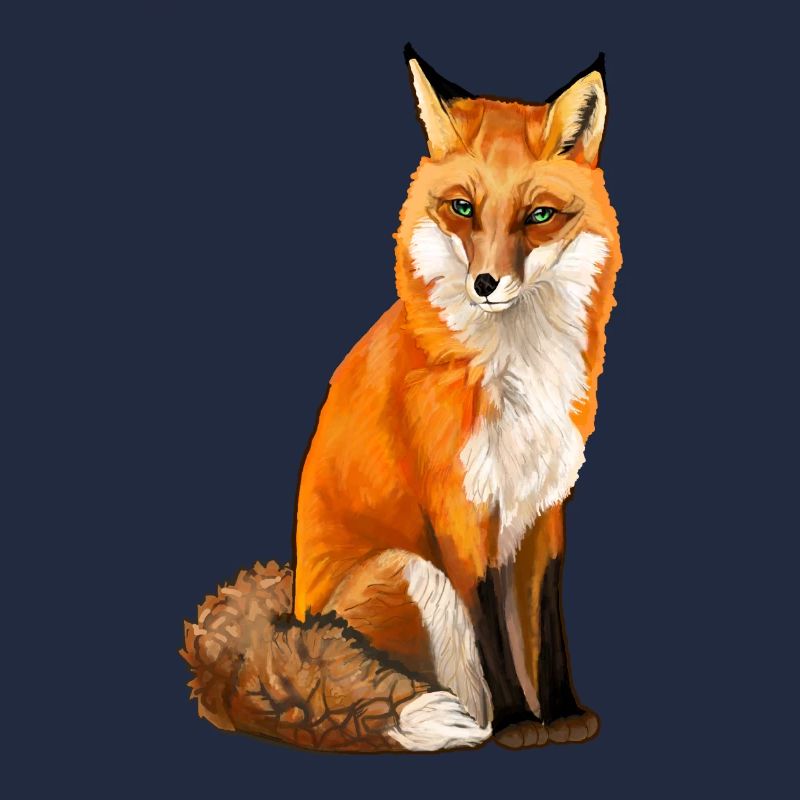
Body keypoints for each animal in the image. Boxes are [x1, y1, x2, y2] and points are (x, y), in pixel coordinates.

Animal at [183, 44, 622, 753]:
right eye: (463, 208)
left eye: (539, 216)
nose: (485, 283)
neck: (515, 371)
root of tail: (292, 618)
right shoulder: (458, 512)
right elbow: (493, 636)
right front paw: (520, 724)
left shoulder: (544, 507)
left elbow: (547, 625)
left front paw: (562, 713)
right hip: (412, 570)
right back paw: (472, 723)